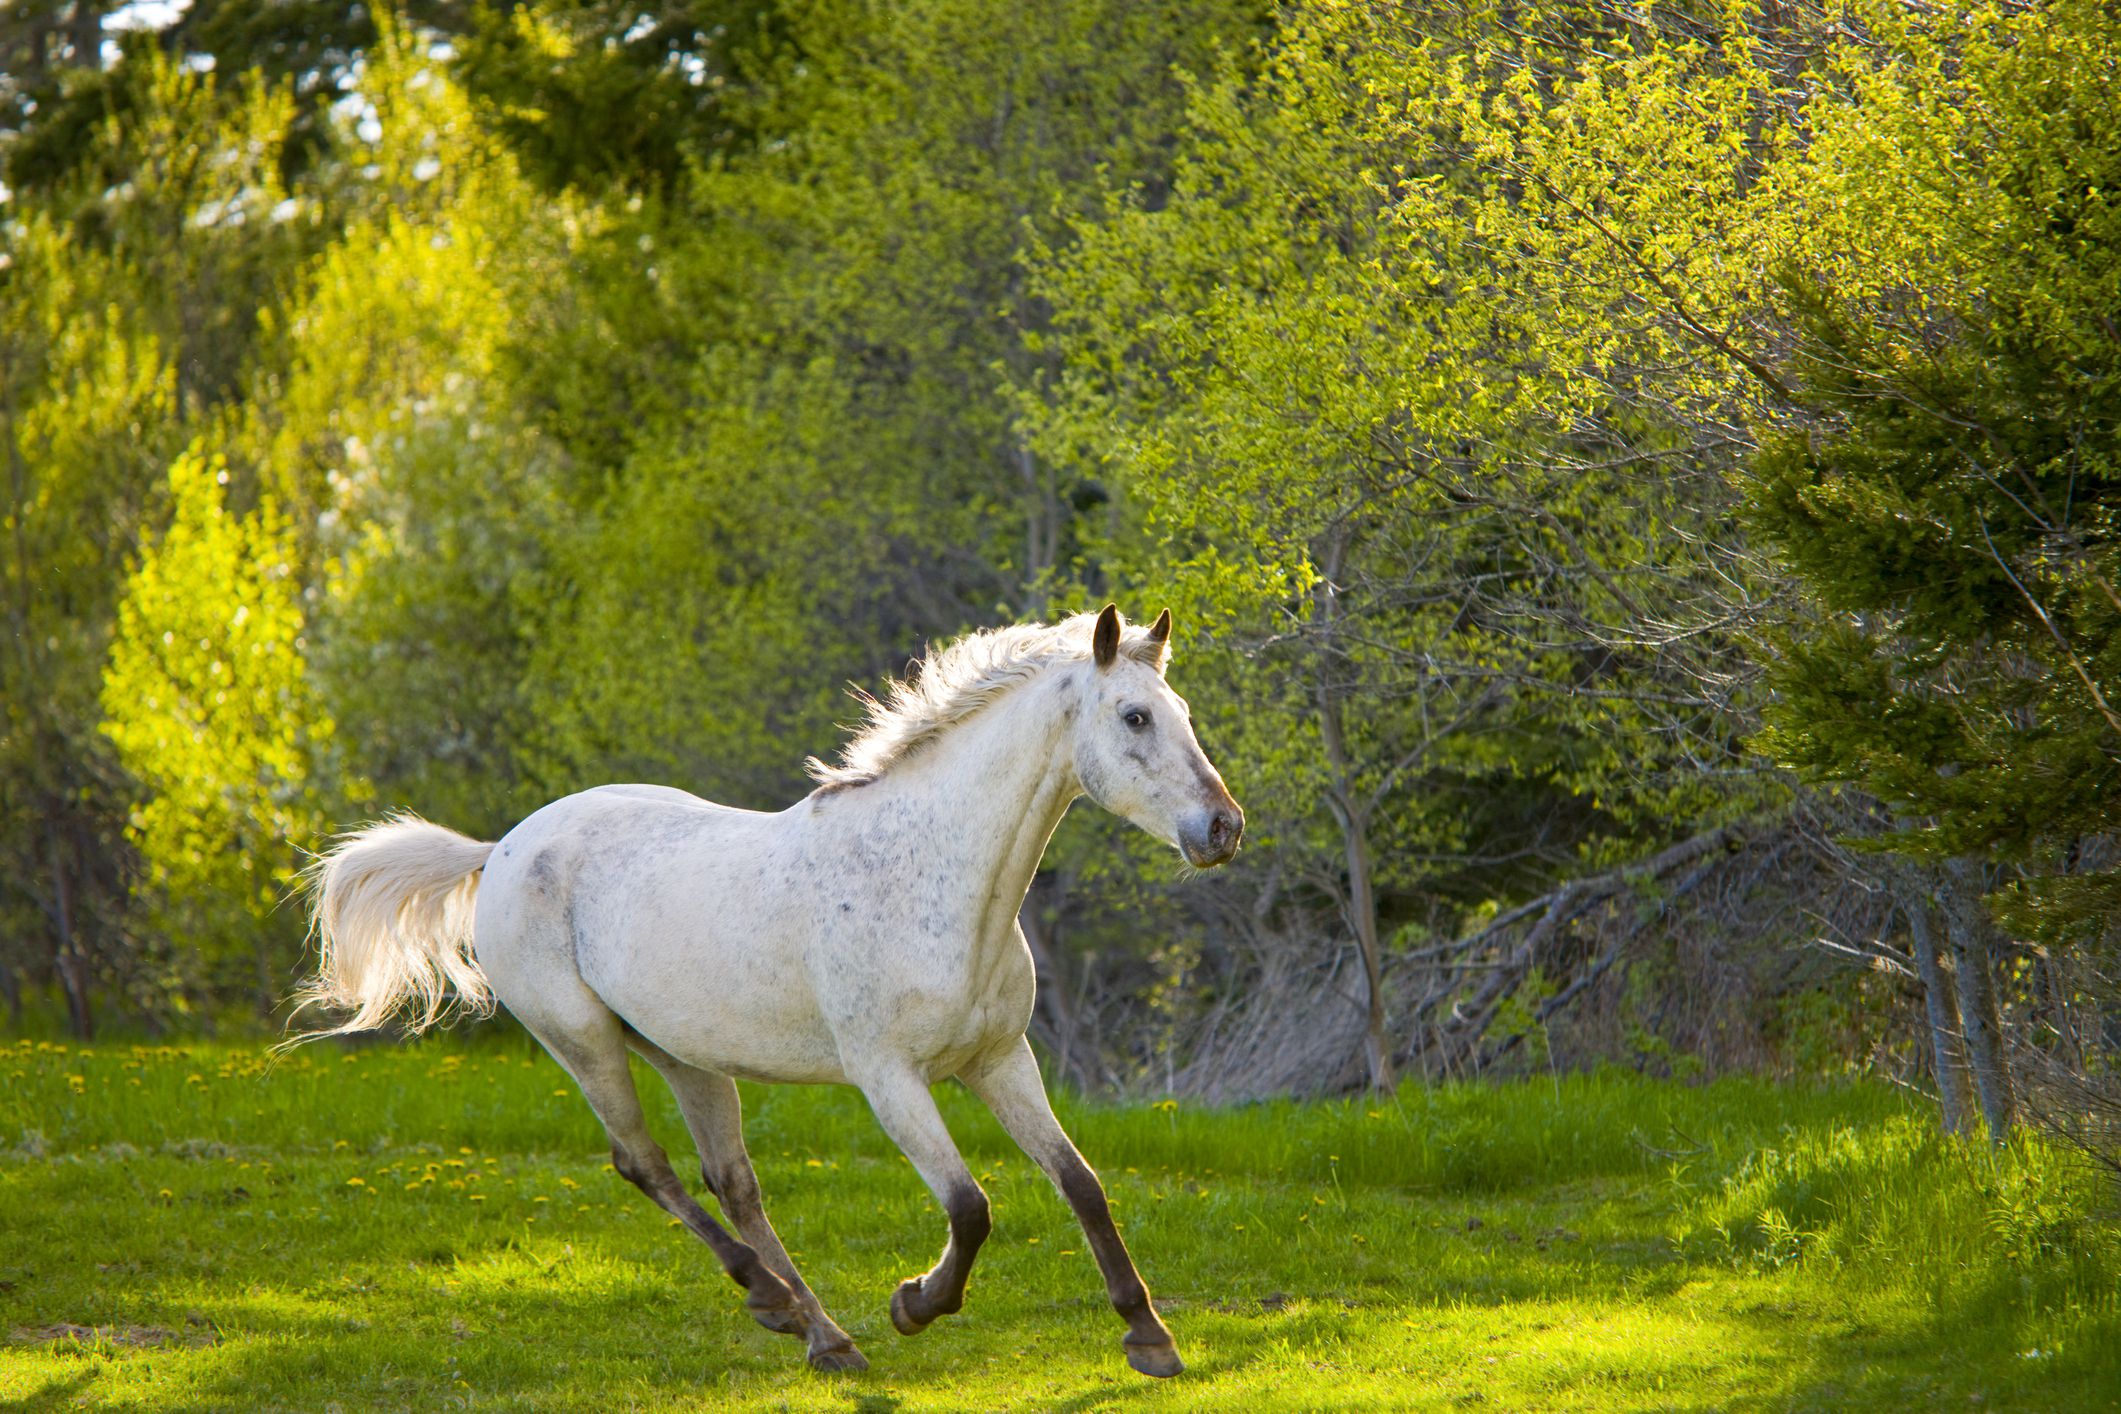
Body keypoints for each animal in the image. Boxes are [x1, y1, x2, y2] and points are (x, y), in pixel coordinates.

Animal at [290, 610, 1238, 1382]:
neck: (932, 879)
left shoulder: (999, 1060)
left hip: (686, 1055)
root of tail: (503, 849)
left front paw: (1150, 1340)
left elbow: (1081, 1184)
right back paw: (774, 1301)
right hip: (582, 1042)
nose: (1222, 829)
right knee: (646, 1165)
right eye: (1135, 716)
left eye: (1183, 712)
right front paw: (913, 1304)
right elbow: (971, 1208)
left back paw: (823, 1335)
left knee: (732, 1183)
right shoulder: (889, 1079)